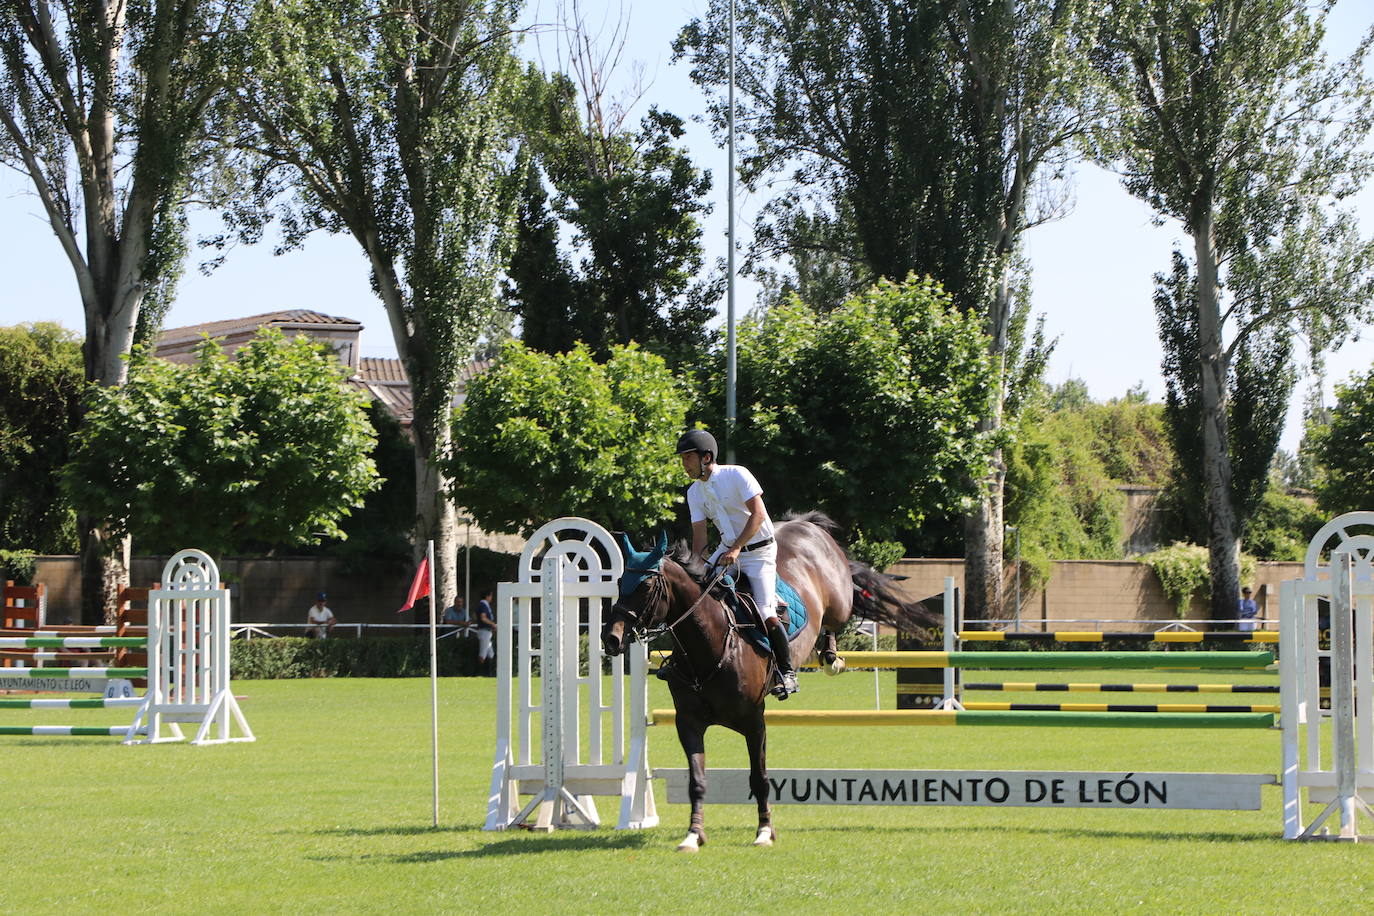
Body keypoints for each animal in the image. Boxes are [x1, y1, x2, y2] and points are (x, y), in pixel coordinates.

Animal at [601, 513, 934, 856]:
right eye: (619, 583)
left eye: (646, 585)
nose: (610, 638)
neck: (708, 647)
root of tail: (805, 523)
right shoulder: (688, 723)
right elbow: (697, 781)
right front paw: (694, 835)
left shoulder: (754, 721)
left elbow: (759, 778)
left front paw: (764, 831)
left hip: (838, 601)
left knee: (840, 613)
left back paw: (831, 657)